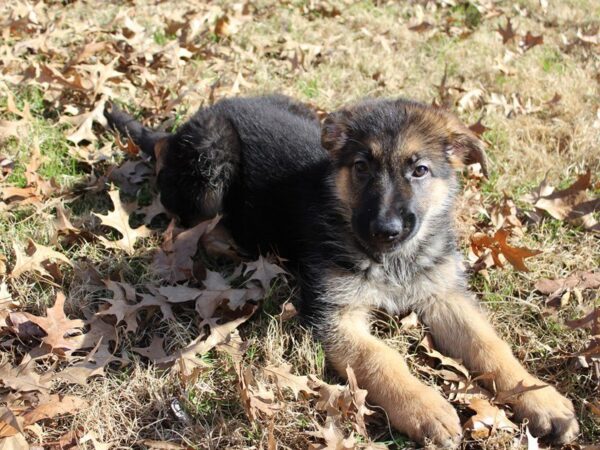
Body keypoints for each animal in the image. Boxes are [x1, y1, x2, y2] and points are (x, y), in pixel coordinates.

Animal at [105, 95, 580, 446]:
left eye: (419, 170)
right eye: (362, 167)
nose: (386, 229)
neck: (393, 260)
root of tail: (187, 124)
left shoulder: (443, 294)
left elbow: (490, 345)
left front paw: (540, 397)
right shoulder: (334, 314)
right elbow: (381, 357)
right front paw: (425, 408)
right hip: (210, 163)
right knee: (180, 201)